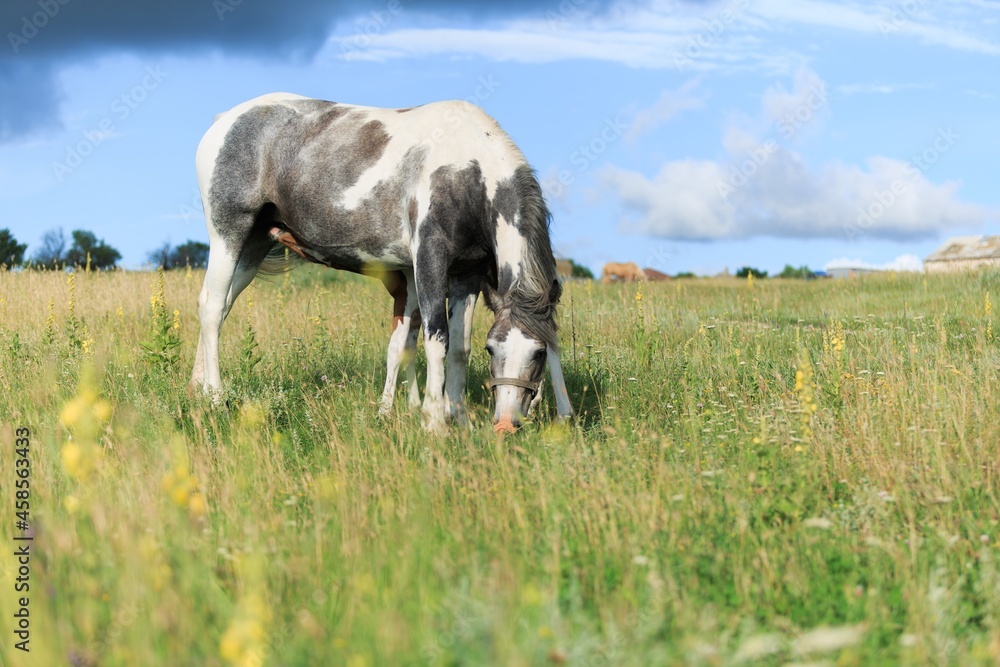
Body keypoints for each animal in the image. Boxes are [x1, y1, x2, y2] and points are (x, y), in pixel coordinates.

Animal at [190, 92, 576, 434]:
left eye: (539, 353)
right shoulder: (429, 261)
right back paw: (215, 398)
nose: (507, 424)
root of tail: (224, 121)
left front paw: (461, 421)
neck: (468, 172)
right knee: (211, 307)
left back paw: (198, 390)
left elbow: (458, 349)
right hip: (229, 236)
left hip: (252, 248)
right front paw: (434, 423)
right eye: (493, 349)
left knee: (220, 309)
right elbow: (437, 339)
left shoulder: (467, 275)